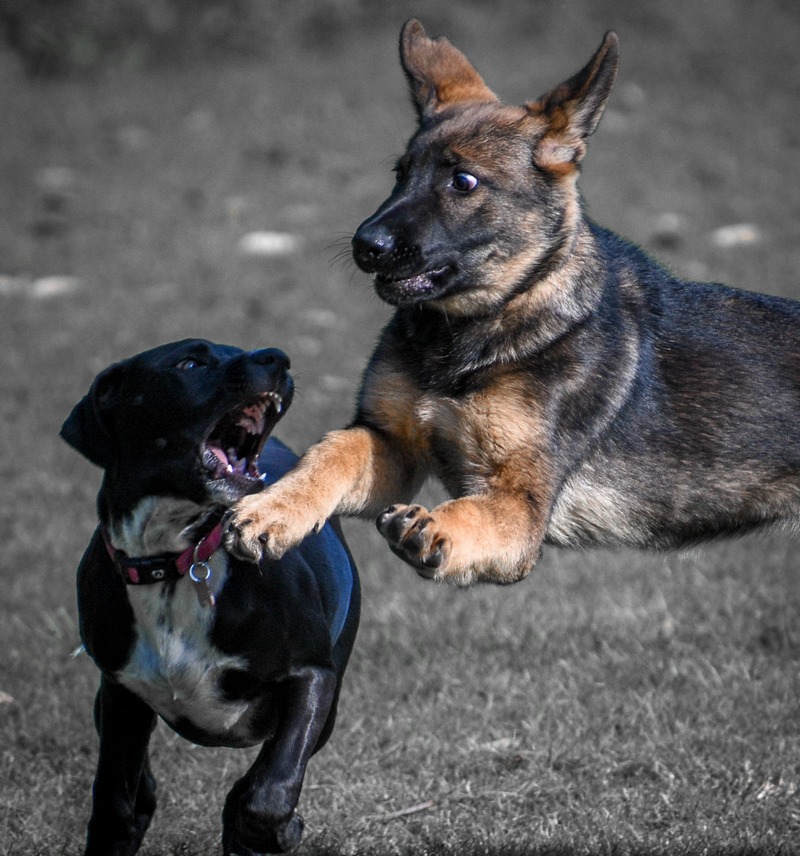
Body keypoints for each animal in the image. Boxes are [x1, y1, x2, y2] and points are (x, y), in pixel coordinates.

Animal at [61, 339, 360, 856]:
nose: (277, 357)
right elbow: (114, 803)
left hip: (328, 706)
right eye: (189, 363)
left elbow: (268, 791)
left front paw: (276, 829)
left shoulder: (313, 676)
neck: (174, 559)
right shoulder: (119, 693)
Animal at [226, 19, 800, 588]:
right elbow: (331, 454)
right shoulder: (390, 443)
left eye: (463, 181)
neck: (476, 329)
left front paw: (433, 531)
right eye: (400, 174)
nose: (366, 246)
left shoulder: (519, 507)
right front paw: (272, 510)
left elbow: (468, 512)